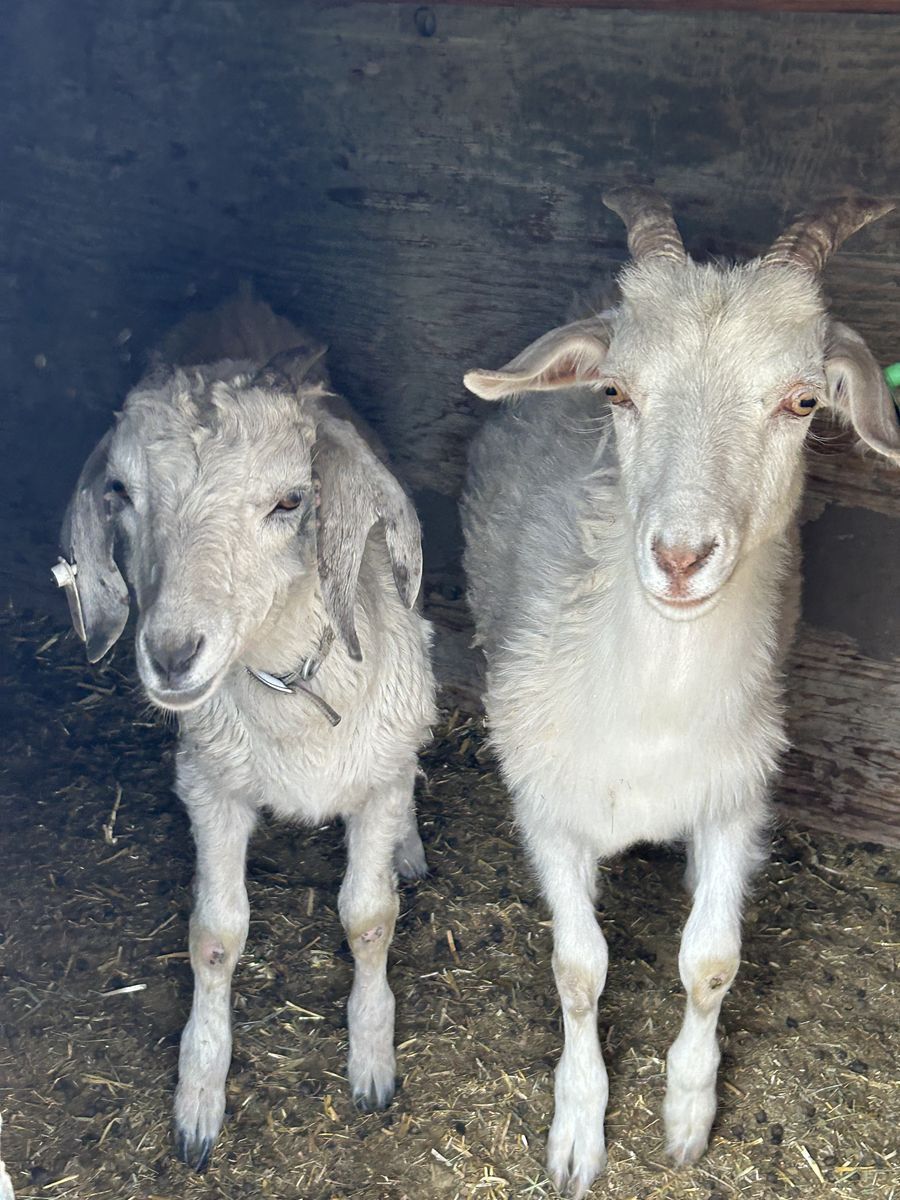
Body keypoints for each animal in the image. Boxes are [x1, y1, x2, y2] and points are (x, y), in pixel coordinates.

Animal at [53, 291, 436, 1170]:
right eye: (119, 492)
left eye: (290, 501)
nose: (170, 654)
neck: (290, 688)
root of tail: (241, 302)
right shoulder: (210, 785)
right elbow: (216, 934)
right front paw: (199, 1097)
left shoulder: (375, 774)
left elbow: (370, 917)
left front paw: (372, 1060)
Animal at [462, 190, 899, 1198]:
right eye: (616, 393)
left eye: (802, 400)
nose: (679, 556)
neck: (649, 709)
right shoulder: (546, 803)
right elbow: (579, 969)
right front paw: (578, 1128)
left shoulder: (736, 794)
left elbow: (711, 962)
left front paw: (688, 1115)